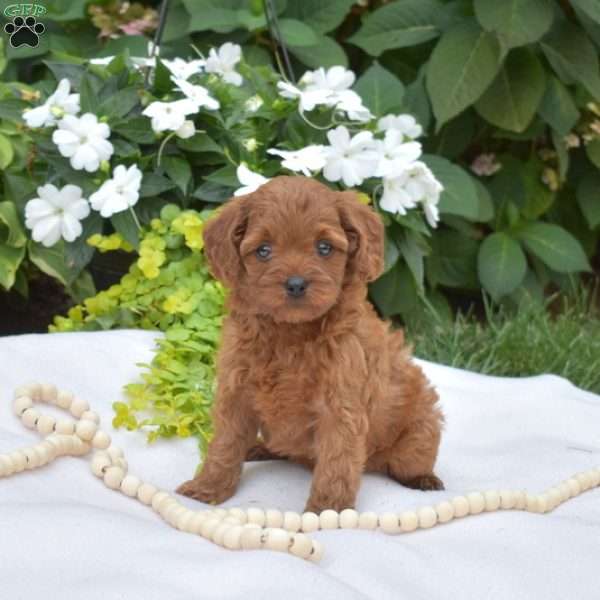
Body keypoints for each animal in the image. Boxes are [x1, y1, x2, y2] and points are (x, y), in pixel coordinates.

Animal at [176, 176, 442, 512]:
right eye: (263, 251)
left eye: (324, 248)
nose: (296, 284)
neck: (290, 333)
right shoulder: (236, 393)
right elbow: (225, 444)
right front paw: (208, 487)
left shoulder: (340, 407)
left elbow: (336, 464)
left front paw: (328, 511)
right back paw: (259, 448)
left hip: (420, 427)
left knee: (409, 460)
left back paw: (423, 478)